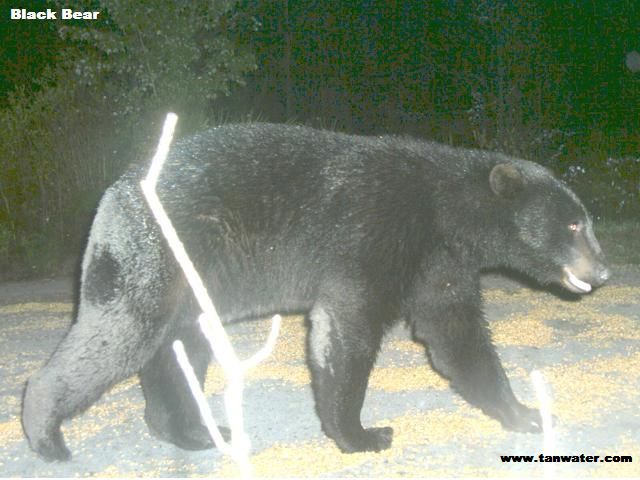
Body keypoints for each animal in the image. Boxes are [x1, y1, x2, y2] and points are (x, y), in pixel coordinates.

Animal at [22, 124, 608, 462]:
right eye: (575, 226)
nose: (603, 272)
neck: (447, 210)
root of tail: (111, 195)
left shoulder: (439, 262)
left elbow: (456, 335)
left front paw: (526, 414)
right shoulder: (372, 234)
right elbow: (347, 327)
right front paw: (360, 434)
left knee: (179, 348)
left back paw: (195, 432)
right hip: (152, 254)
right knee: (120, 334)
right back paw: (45, 434)